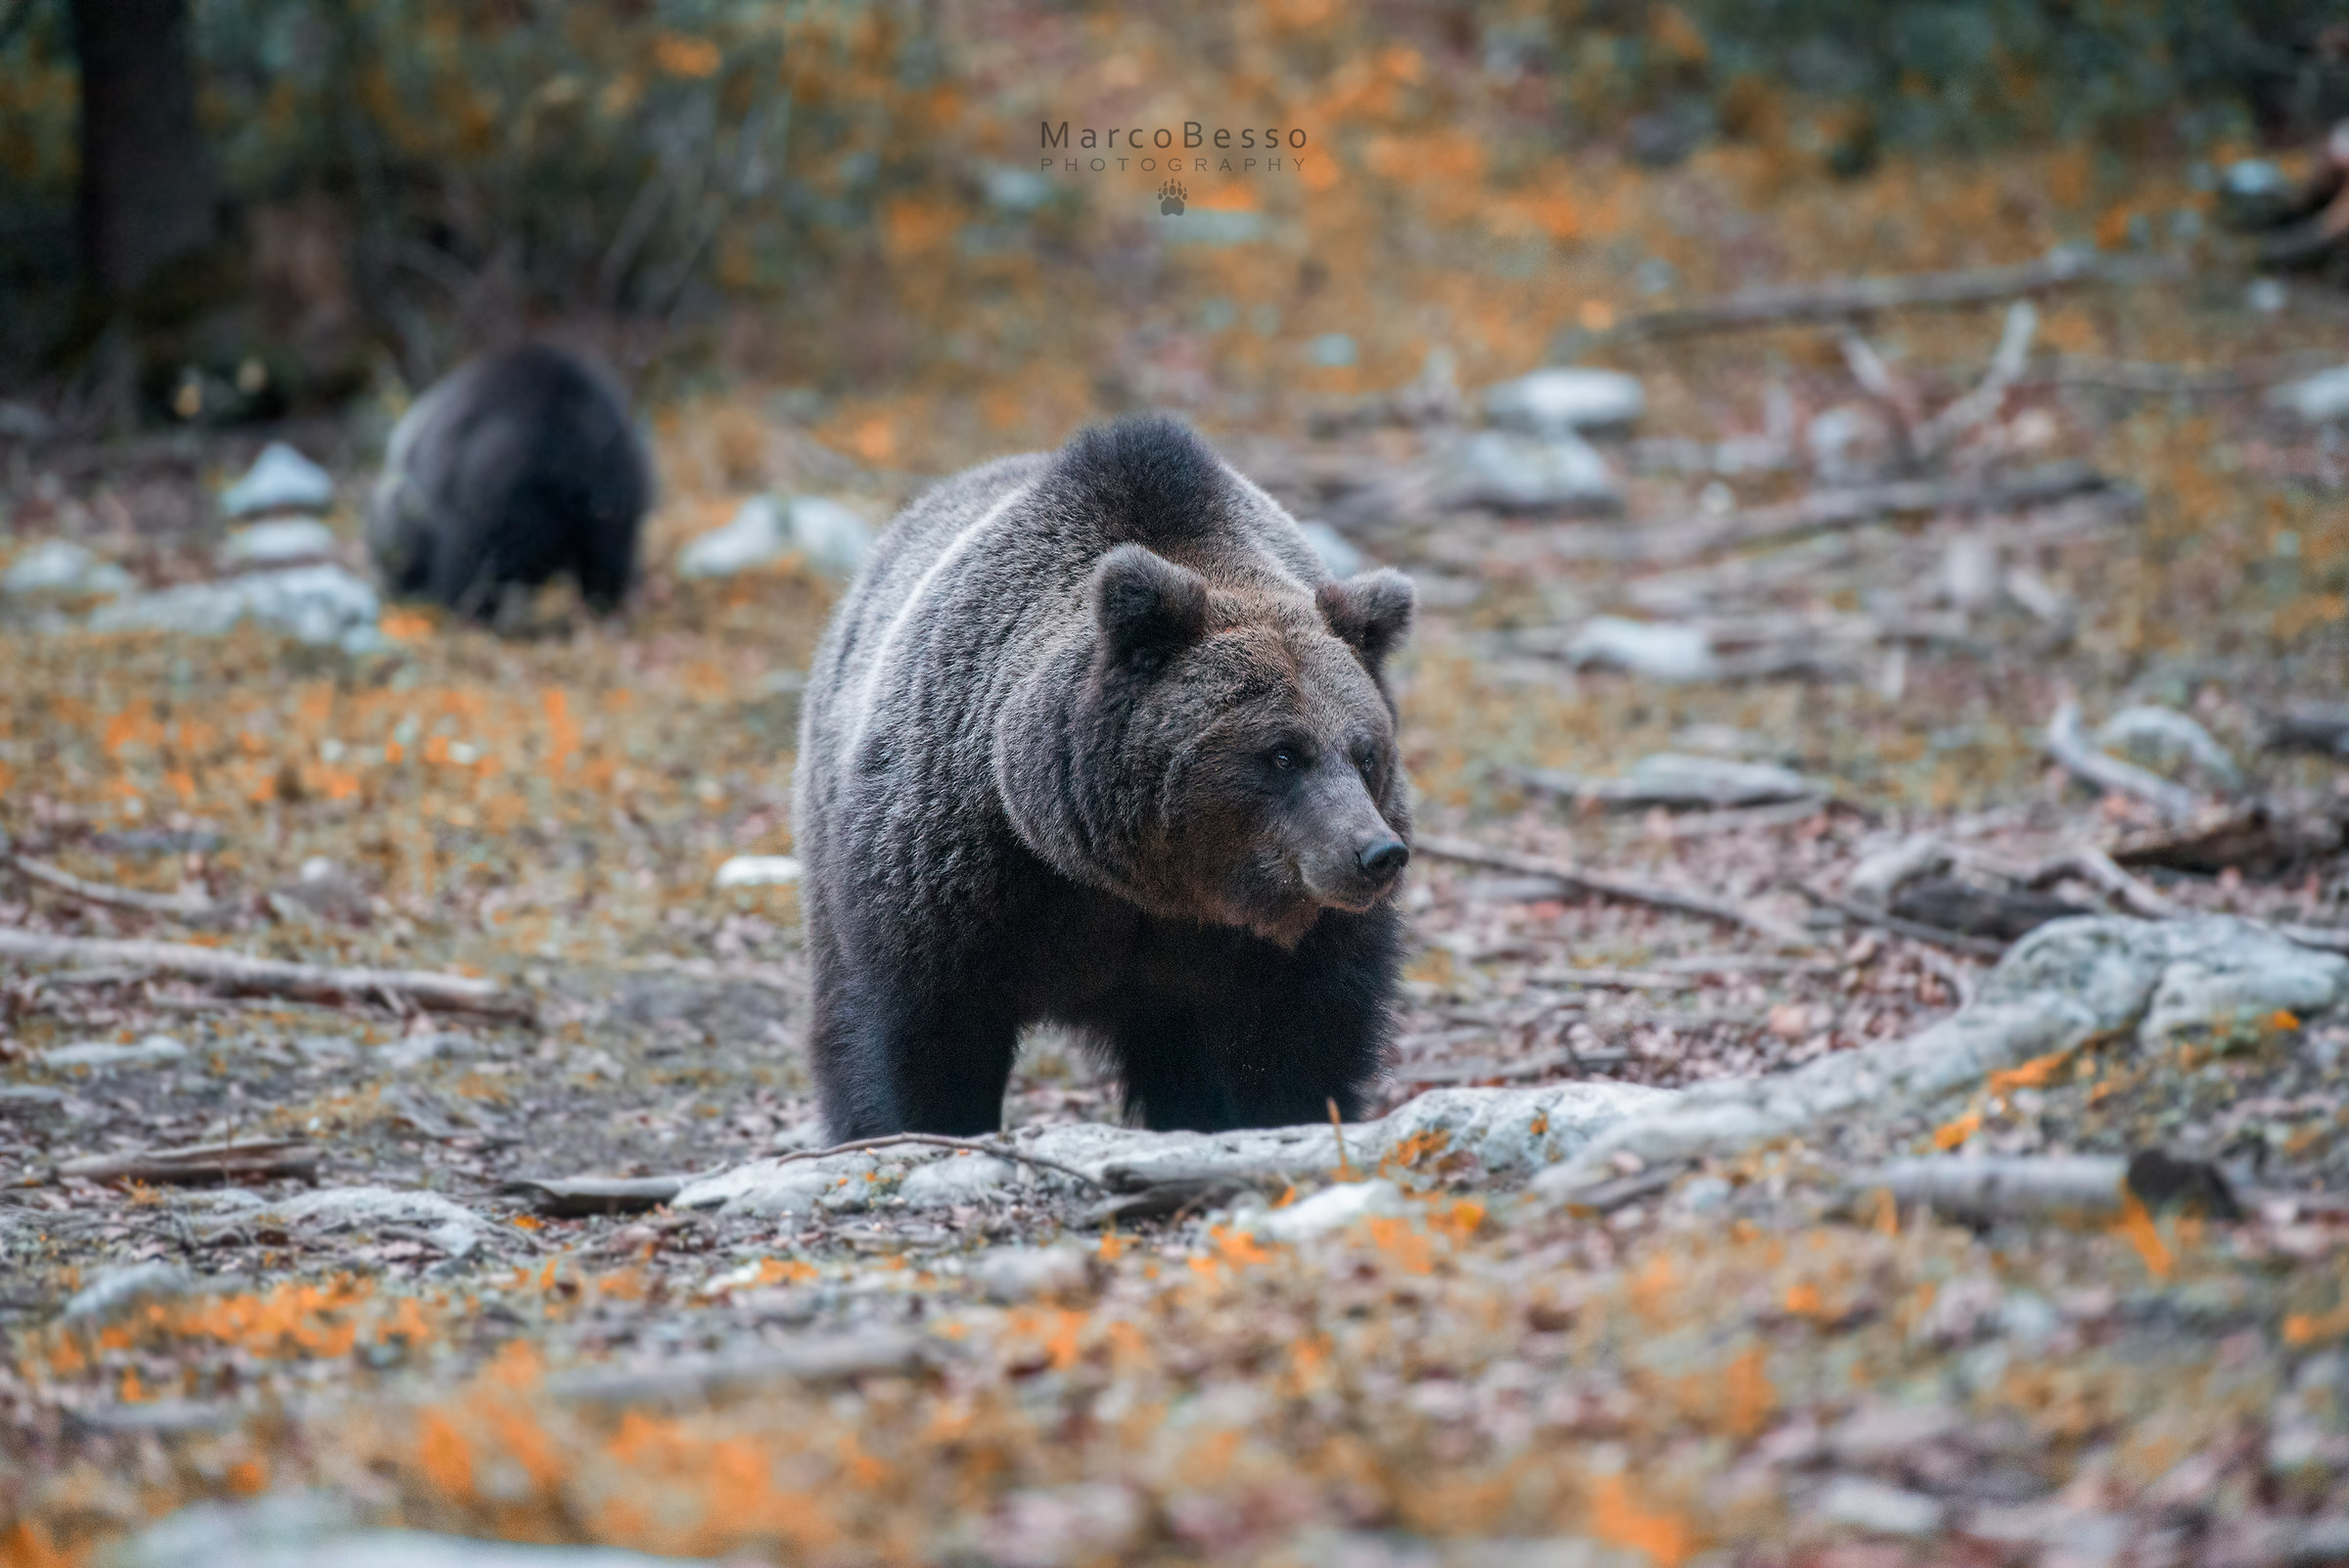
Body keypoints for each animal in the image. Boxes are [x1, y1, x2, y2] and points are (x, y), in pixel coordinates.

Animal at [795, 414, 1416, 1139]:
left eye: (1366, 752)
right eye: (1283, 752)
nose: (1375, 853)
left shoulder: (1274, 950)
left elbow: (1296, 1042)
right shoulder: (952, 873)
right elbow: (924, 1031)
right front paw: (917, 1126)